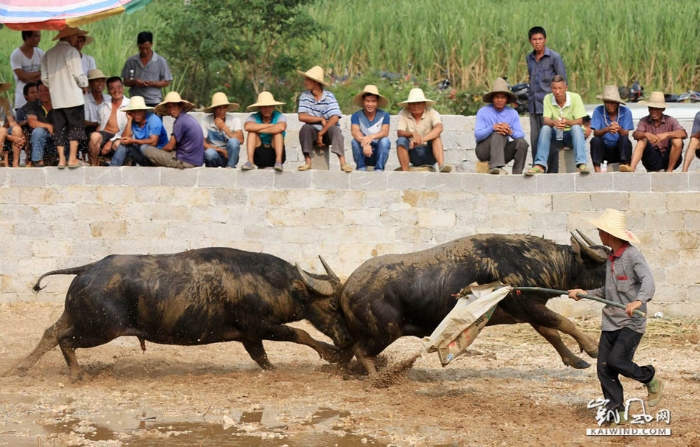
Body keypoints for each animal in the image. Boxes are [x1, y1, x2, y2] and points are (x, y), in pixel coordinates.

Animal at [2, 248, 356, 382]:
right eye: (331, 306)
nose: (347, 339)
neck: (273, 282)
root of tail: (89, 268)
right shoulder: (262, 326)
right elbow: (302, 333)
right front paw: (333, 355)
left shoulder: (249, 336)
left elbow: (262, 358)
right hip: (100, 329)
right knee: (65, 339)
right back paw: (76, 374)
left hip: (79, 318)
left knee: (51, 333)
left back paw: (20, 369)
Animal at [304, 231, 608, 374]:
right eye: (604, 262)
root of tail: (346, 290)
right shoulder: (527, 306)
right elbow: (563, 322)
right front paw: (593, 348)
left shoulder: (528, 312)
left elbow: (551, 332)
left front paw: (575, 360)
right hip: (384, 333)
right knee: (361, 351)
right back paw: (379, 378)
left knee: (349, 351)